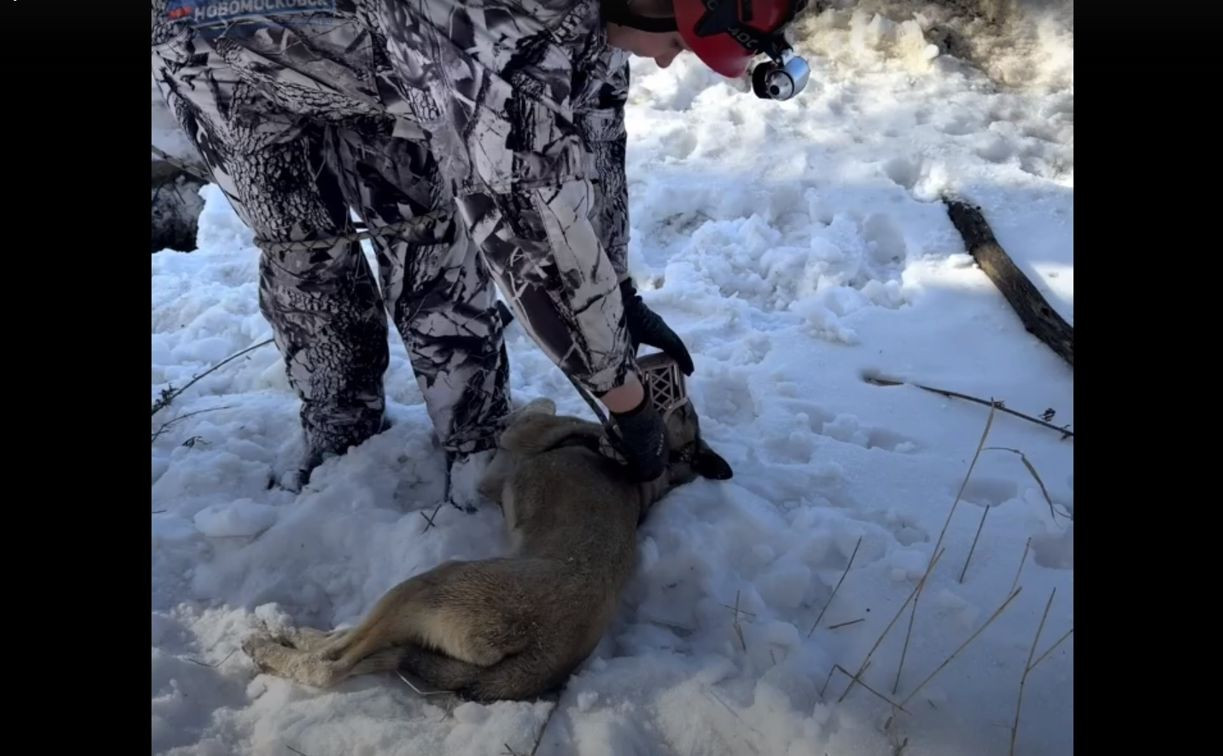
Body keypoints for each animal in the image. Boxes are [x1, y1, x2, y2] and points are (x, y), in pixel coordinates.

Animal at [242, 352, 728, 699]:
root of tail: (539, 654)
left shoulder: (510, 456)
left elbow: (537, 408)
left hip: (430, 585)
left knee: (330, 664)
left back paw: (269, 645)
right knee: (360, 649)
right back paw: (291, 633)